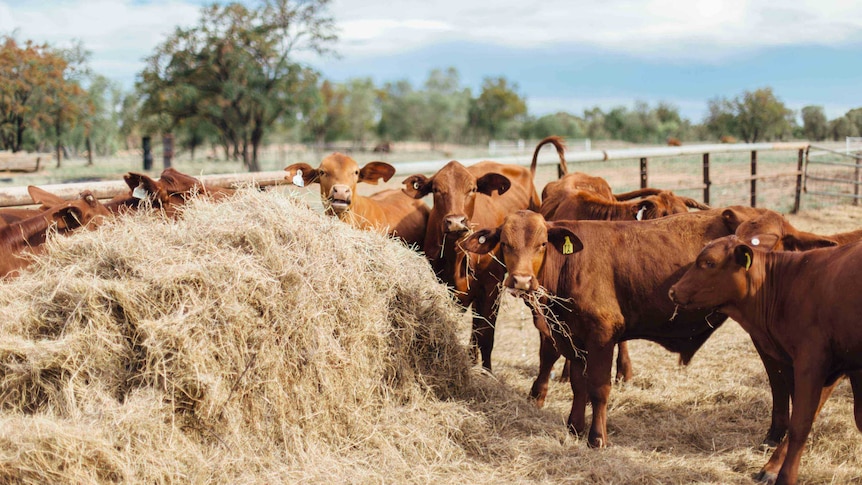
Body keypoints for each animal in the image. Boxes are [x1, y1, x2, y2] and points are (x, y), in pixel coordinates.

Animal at [404, 160, 540, 370]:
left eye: (472, 189)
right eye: (436, 189)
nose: (455, 222)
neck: (457, 256)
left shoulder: (492, 287)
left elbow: (487, 337)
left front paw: (487, 372)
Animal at [462, 206, 768, 444]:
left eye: (542, 244)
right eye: (505, 243)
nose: (522, 281)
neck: (571, 265)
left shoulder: (601, 335)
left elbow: (598, 388)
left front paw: (597, 437)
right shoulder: (572, 338)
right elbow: (578, 384)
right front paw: (574, 427)